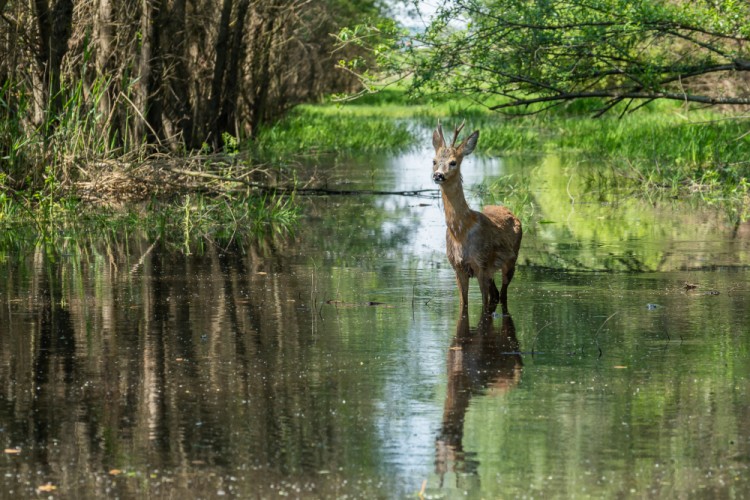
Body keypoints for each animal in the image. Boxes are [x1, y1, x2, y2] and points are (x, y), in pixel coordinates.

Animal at [432, 121, 524, 310]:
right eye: (434, 161)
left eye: (453, 162)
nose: (438, 175)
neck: (460, 231)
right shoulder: (457, 267)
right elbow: (464, 304)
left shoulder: (481, 263)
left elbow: (484, 305)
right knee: (496, 294)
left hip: (511, 259)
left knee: (502, 294)